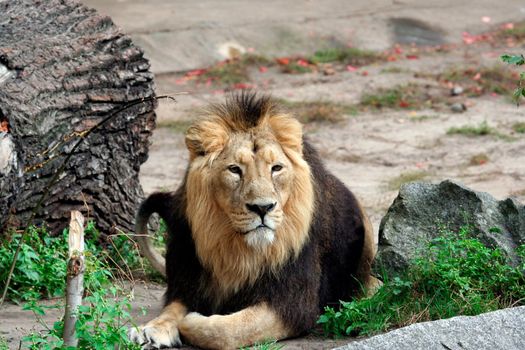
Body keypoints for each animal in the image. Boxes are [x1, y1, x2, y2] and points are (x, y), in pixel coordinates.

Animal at [129, 92, 378, 350]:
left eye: (276, 168)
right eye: (234, 170)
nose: (263, 208)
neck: (239, 253)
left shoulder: (293, 303)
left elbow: (228, 330)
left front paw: (191, 321)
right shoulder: (188, 279)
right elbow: (172, 308)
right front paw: (152, 328)